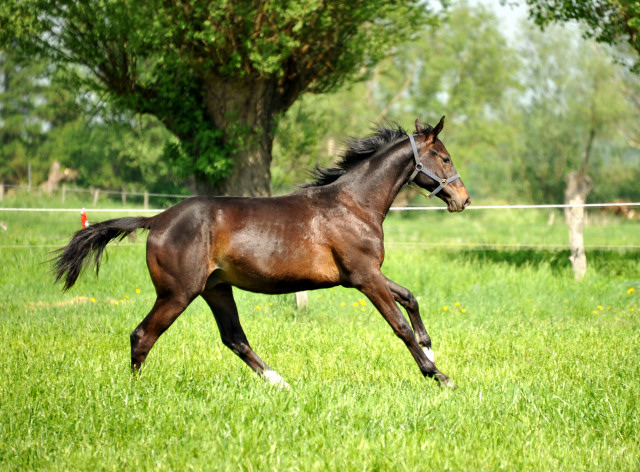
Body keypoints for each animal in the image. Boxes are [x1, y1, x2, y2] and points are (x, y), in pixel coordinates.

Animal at [52, 116, 470, 390]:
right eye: (445, 158)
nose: (463, 200)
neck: (353, 204)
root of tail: (156, 219)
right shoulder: (364, 277)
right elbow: (399, 324)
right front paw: (440, 376)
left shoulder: (362, 276)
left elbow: (410, 298)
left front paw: (432, 351)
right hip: (177, 293)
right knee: (143, 334)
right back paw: (136, 392)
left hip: (215, 289)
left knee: (234, 338)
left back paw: (278, 381)